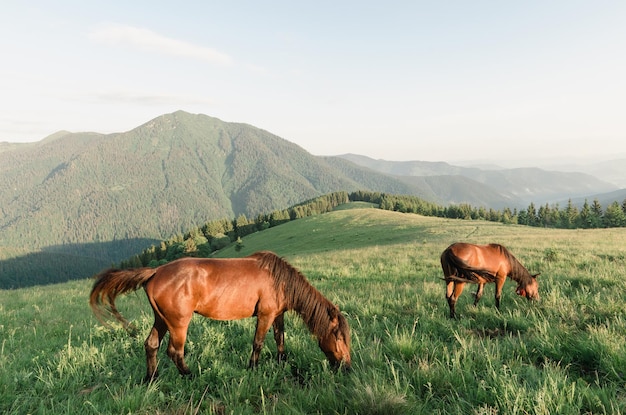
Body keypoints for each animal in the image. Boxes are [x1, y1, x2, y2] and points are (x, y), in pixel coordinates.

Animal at [89, 250, 352, 384]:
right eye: (340, 339)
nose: (348, 368)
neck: (279, 280)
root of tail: (155, 271)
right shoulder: (265, 315)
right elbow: (258, 343)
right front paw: (252, 367)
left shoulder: (277, 315)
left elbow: (280, 338)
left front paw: (282, 361)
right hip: (178, 323)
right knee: (175, 352)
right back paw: (190, 375)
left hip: (161, 320)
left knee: (151, 345)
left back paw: (151, 378)